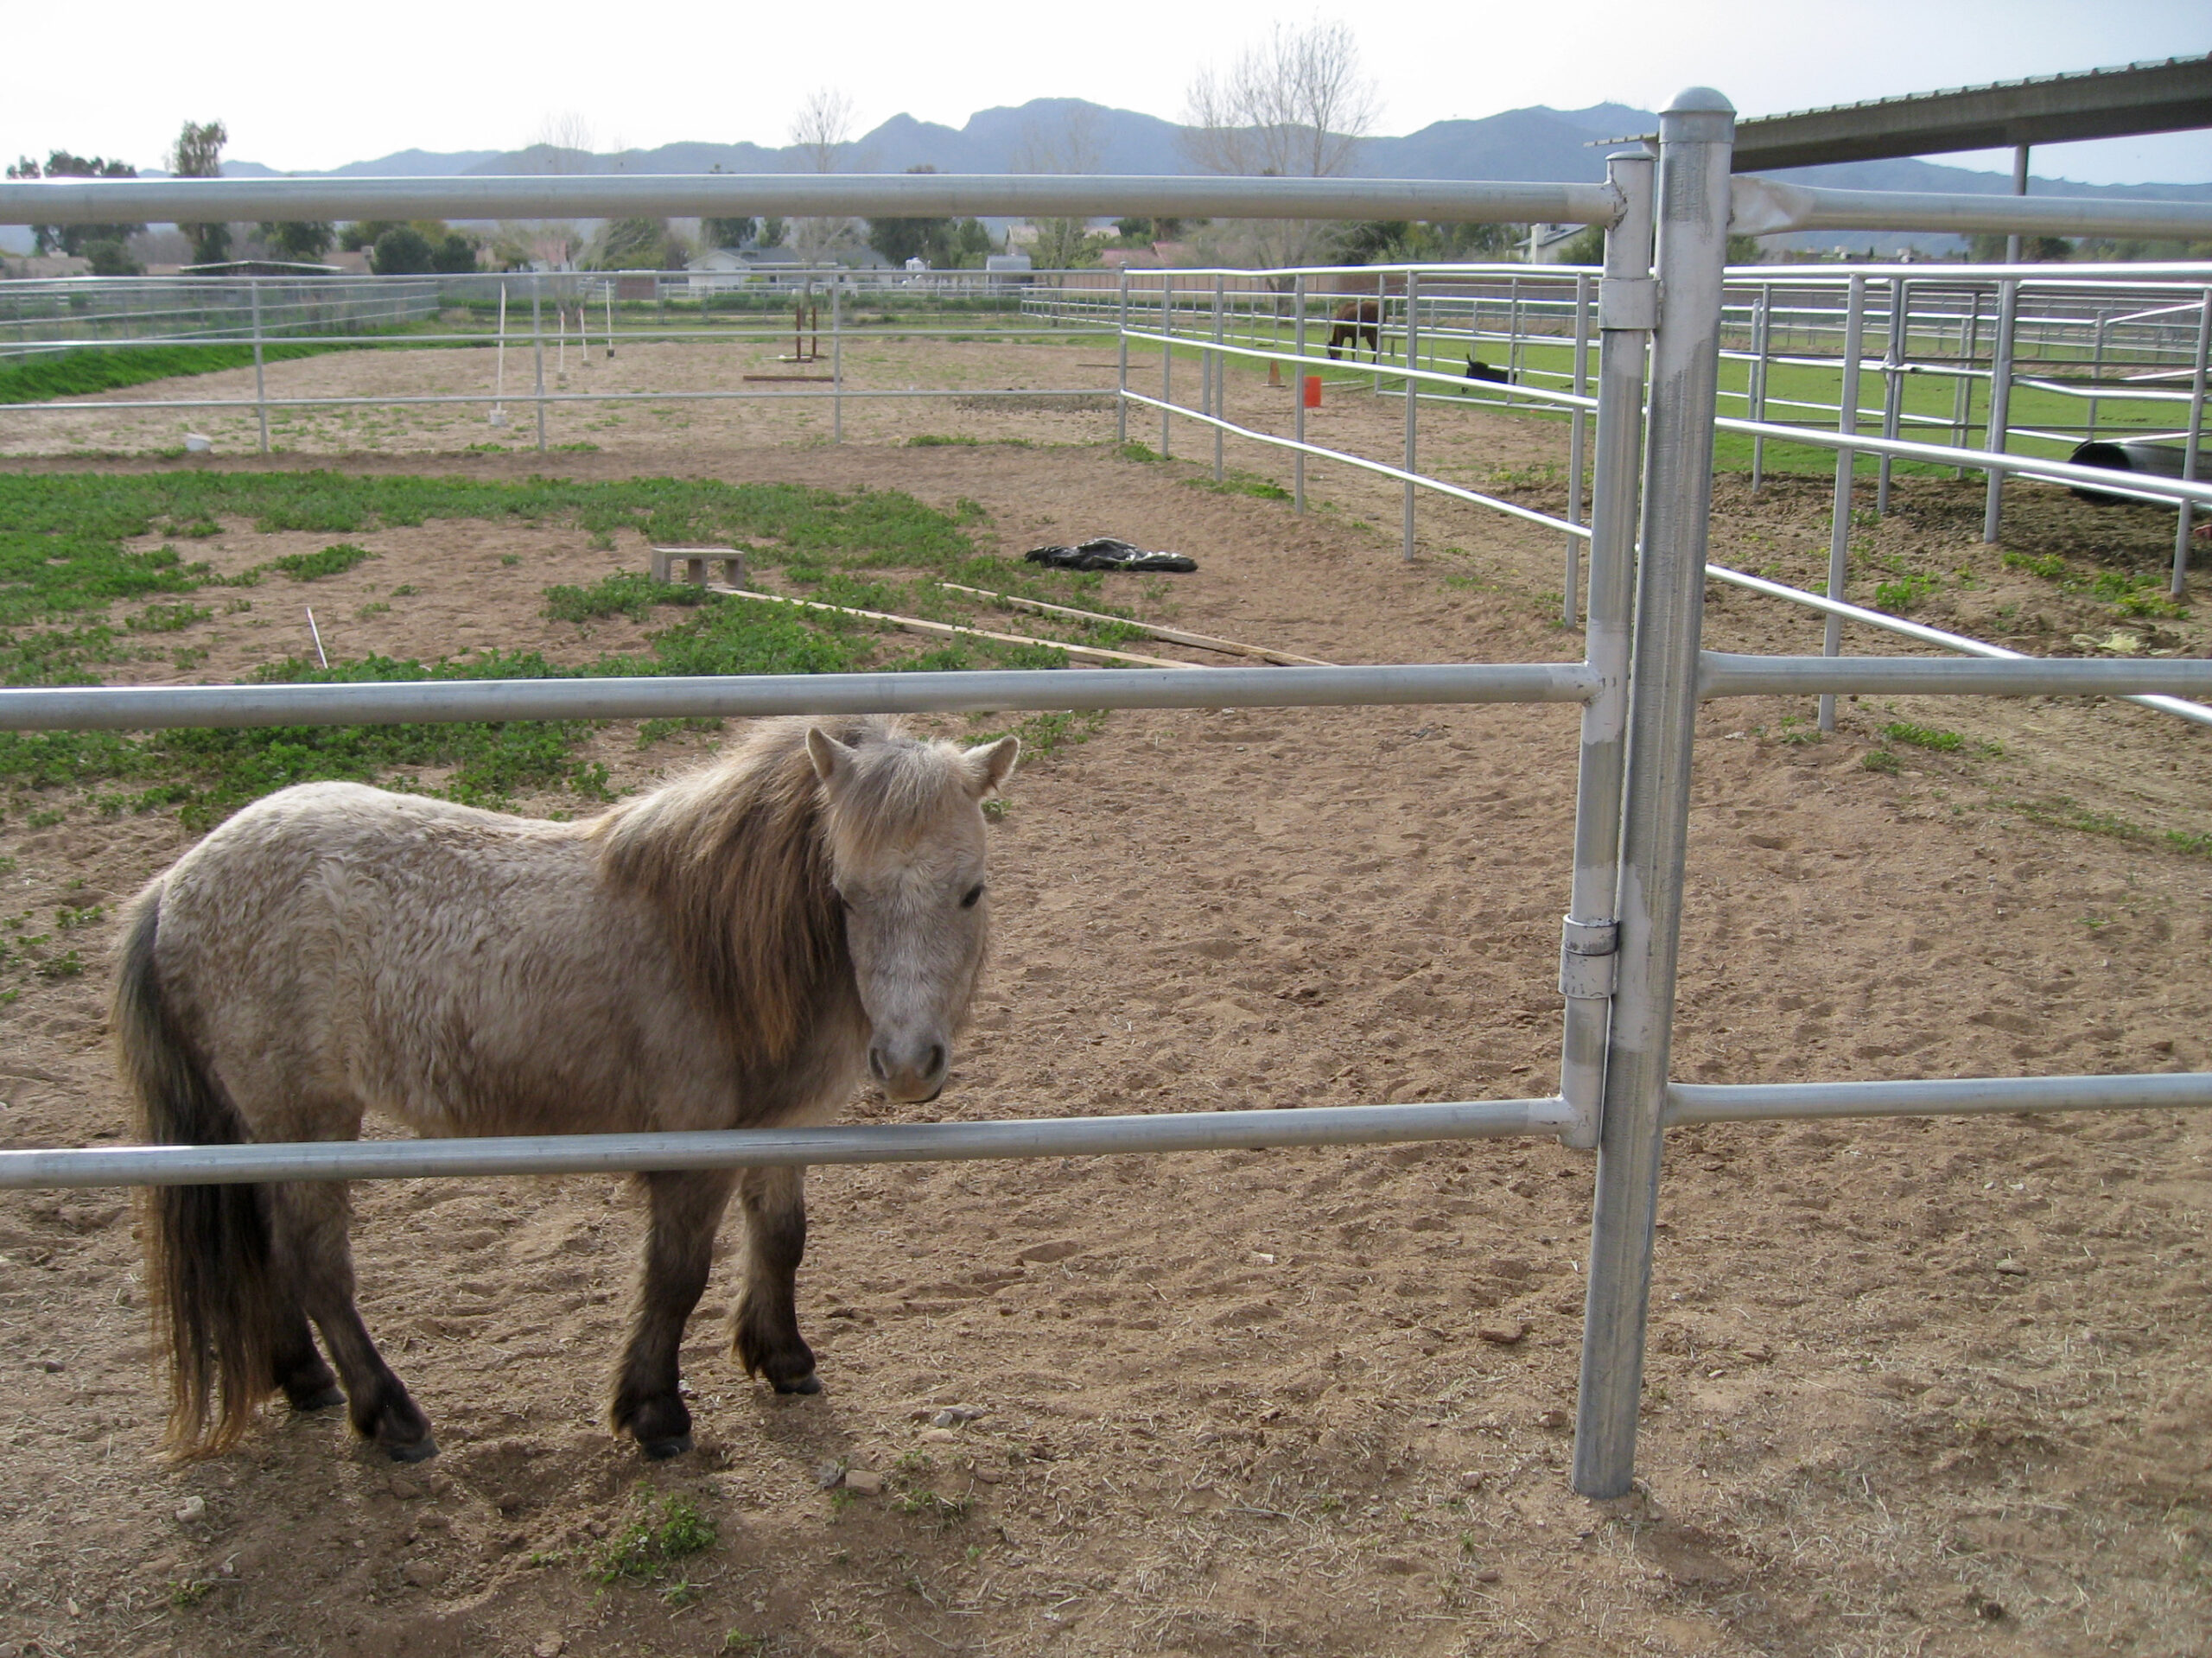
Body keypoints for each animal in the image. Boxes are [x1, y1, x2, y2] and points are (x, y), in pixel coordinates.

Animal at [114, 714, 1018, 1464]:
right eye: (845, 893)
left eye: (970, 890)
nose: (907, 1062)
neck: (712, 944)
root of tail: (177, 882)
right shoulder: (694, 1148)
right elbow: (676, 1274)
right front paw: (655, 1414)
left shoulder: (781, 1130)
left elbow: (782, 1240)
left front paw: (784, 1358)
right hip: (307, 1118)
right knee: (314, 1261)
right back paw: (391, 1415)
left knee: (265, 1245)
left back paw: (306, 1379)